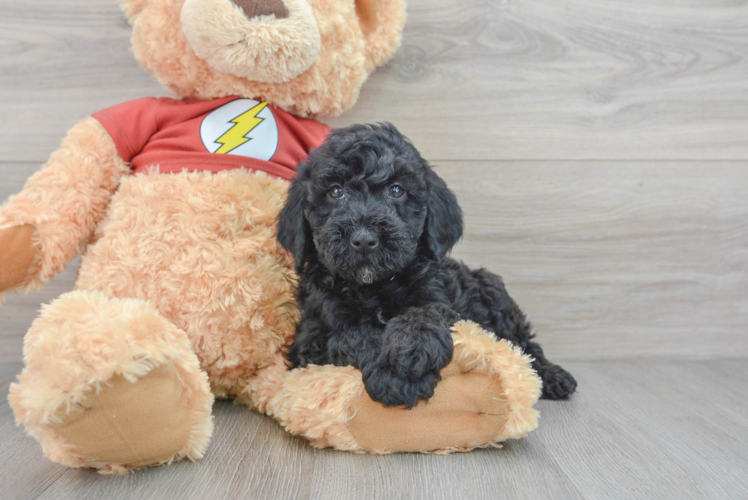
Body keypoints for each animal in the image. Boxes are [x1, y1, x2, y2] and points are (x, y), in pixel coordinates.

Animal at [278, 123, 576, 408]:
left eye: (396, 190)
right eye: (336, 192)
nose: (364, 239)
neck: (373, 286)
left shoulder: (442, 299)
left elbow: (426, 314)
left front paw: (412, 349)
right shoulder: (310, 340)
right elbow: (353, 335)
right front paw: (395, 377)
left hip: (493, 291)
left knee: (524, 344)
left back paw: (553, 377)